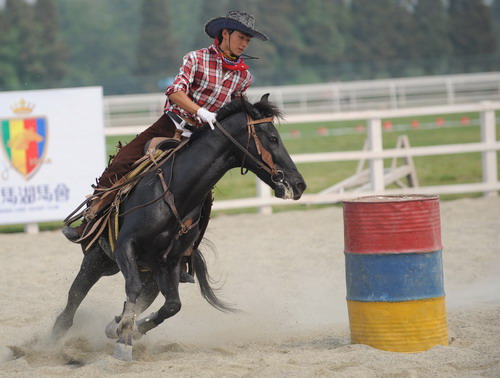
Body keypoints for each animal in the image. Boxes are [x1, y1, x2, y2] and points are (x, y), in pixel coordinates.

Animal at [52, 94, 306, 360]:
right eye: (273, 138)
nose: (299, 184)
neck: (175, 193)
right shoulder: (124, 246)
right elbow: (132, 287)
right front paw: (124, 340)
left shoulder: (169, 262)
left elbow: (172, 306)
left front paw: (128, 331)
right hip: (98, 260)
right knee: (73, 302)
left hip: (149, 276)